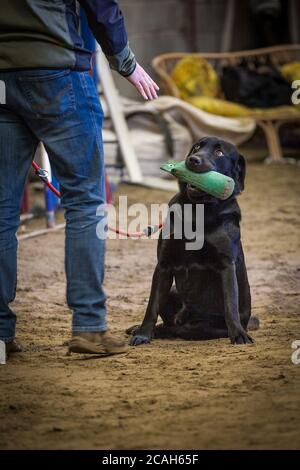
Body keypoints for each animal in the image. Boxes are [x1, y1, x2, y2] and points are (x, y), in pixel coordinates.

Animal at [127, 136, 258, 346]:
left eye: (219, 152)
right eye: (197, 147)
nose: (193, 160)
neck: (199, 211)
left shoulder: (226, 264)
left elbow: (230, 304)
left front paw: (239, 335)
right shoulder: (163, 265)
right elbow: (152, 305)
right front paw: (143, 334)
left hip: (202, 327)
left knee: (180, 329)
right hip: (172, 291)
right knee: (171, 324)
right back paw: (139, 329)